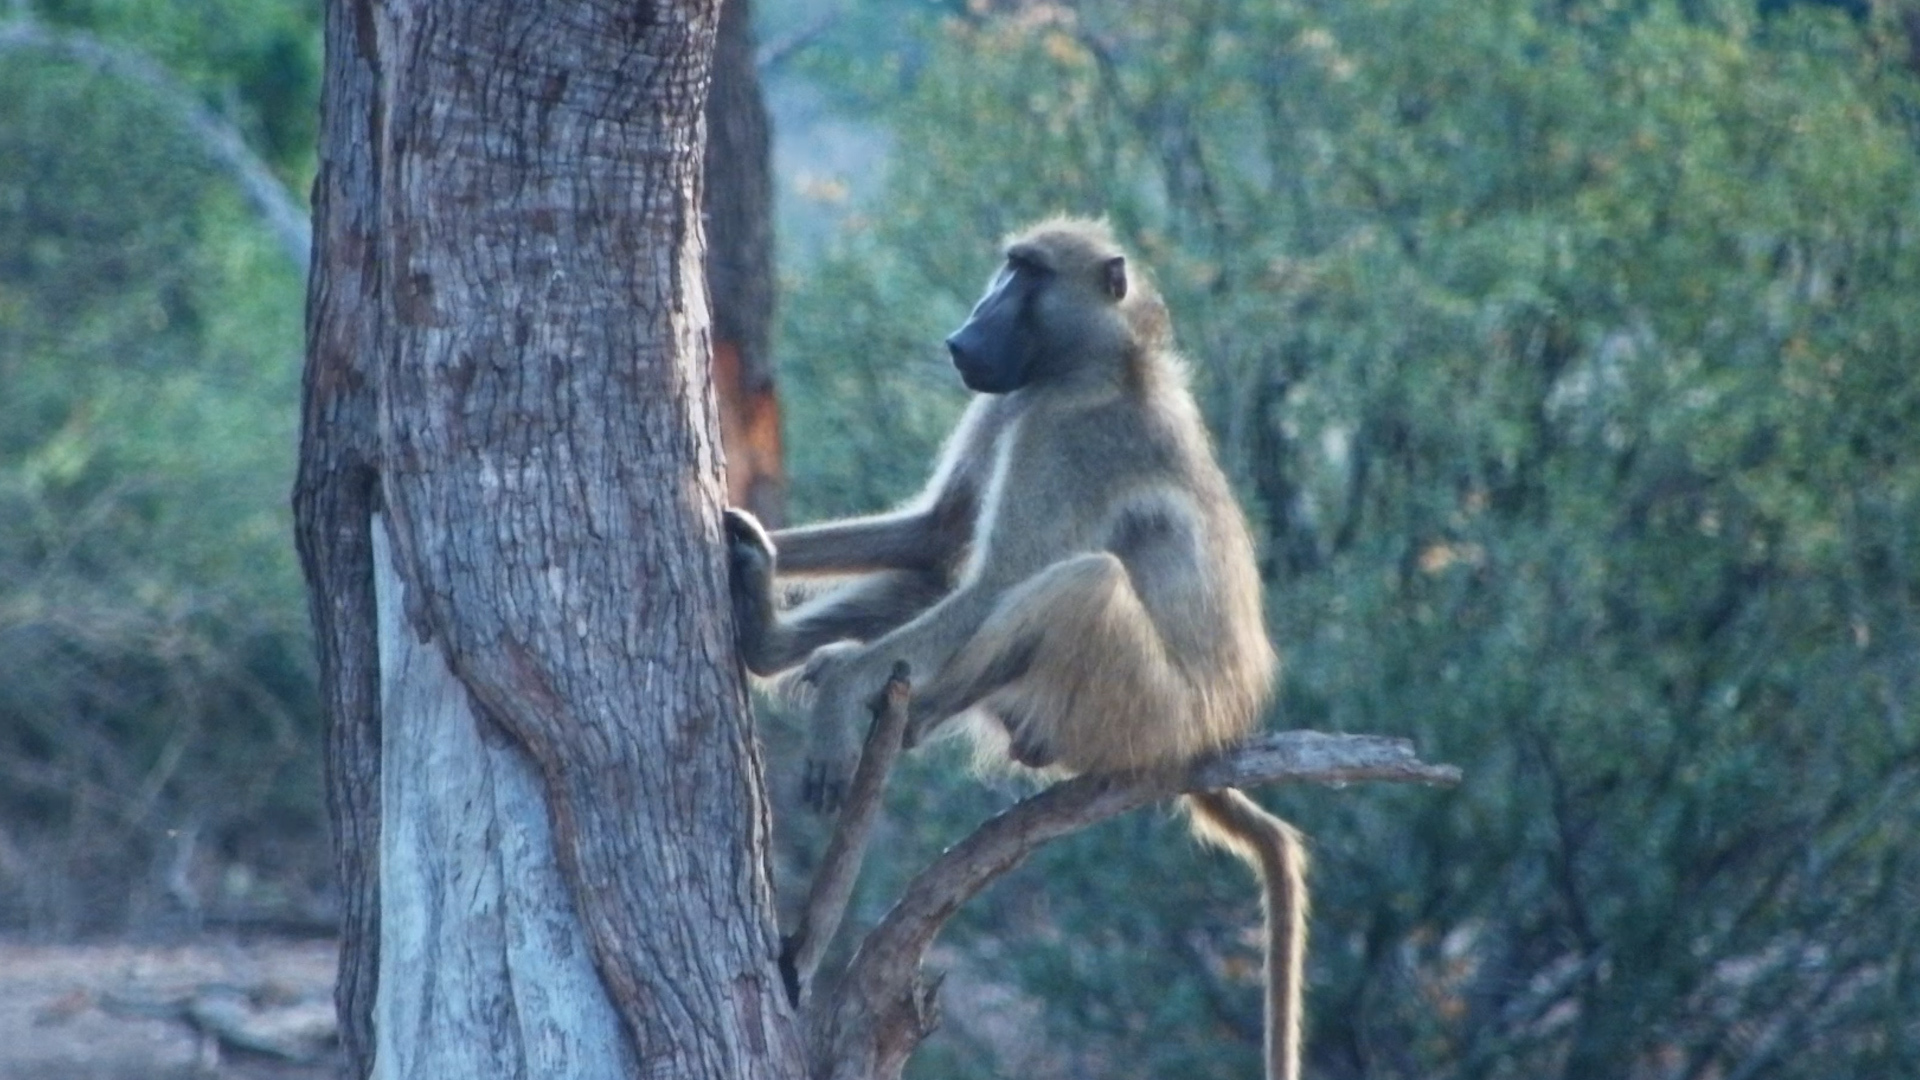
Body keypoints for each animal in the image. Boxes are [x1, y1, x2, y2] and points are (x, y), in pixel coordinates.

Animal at [724, 217, 1309, 1080]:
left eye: (1027, 276)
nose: (963, 335)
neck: (1104, 363)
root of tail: (1212, 735)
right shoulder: (1013, 403)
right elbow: (936, 538)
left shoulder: (1060, 433)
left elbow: (995, 576)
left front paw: (834, 704)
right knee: (947, 578)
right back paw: (775, 641)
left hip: (1140, 716)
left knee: (1081, 583)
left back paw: (903, 715)